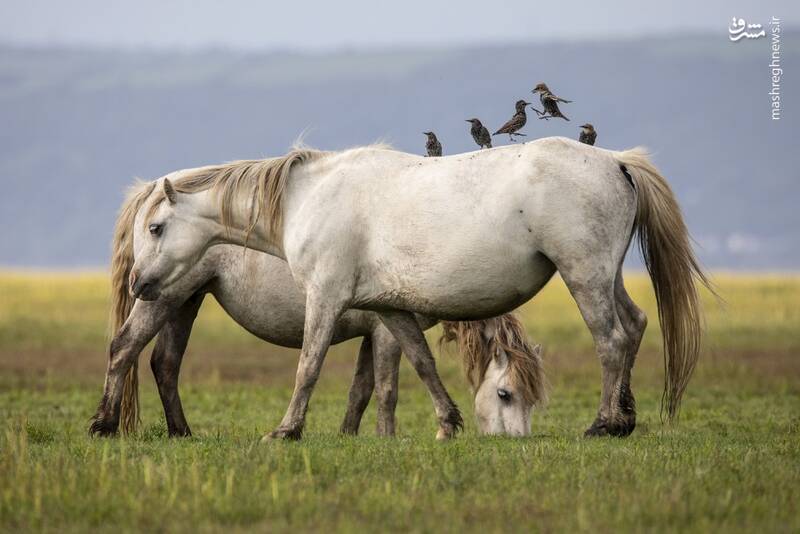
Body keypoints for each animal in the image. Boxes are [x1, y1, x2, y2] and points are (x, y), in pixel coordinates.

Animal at [90, 191, 548, 438]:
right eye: (505, 394)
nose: (514, 443)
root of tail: (151, 192)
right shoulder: (386, 333)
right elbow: (387, 388)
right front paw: (387, 438)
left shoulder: (371, 333)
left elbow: (360, 389)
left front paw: (350, 436)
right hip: (161, 298)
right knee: (124, 348)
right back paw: (104, 425)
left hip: (185, 301)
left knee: (164, 362)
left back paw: (181, 432)